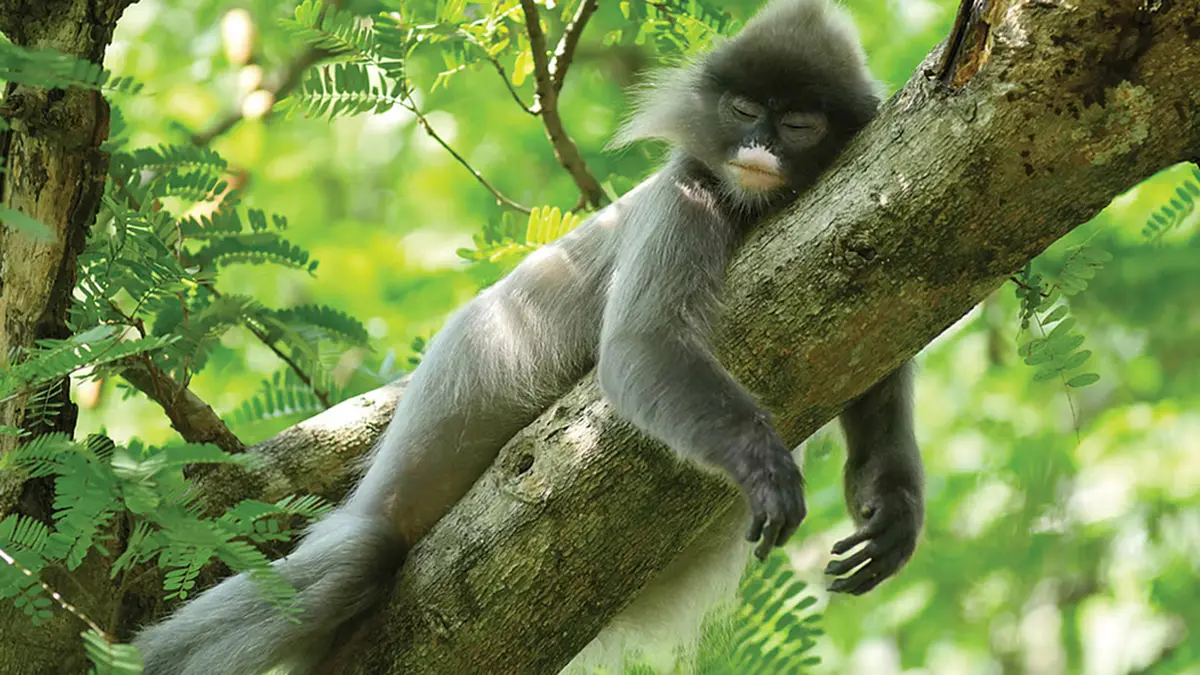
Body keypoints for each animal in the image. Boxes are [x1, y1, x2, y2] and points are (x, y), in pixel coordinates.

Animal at [133, 1, 923, 673]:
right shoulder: (686, 195)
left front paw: (893, 507)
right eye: (745, 110)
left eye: (798, 124)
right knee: (354, 555)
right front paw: (764, 467)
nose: (758, 146)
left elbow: (876, 363)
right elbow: (638, 352)